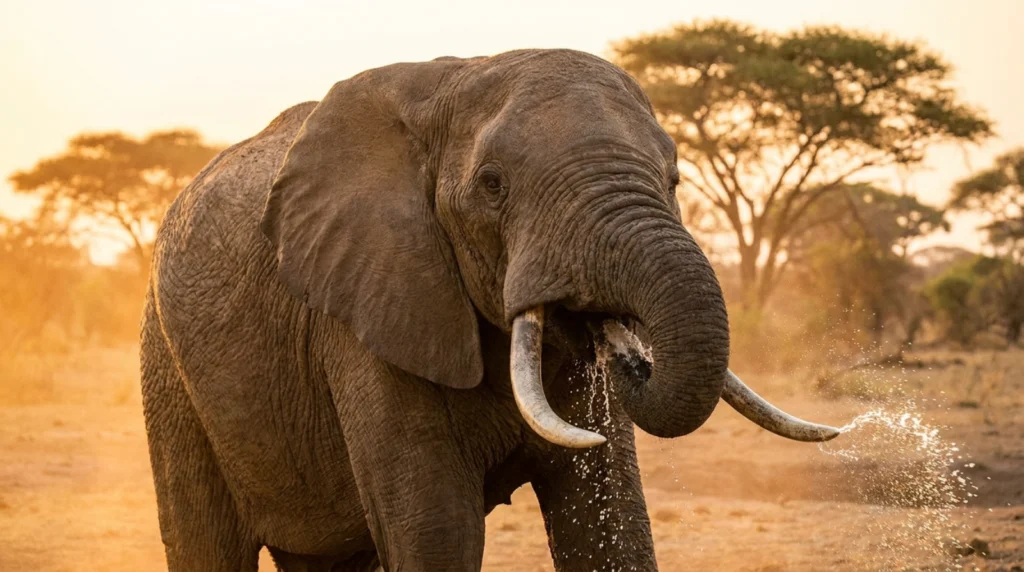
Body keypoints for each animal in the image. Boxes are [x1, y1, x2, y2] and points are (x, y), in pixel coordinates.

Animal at [140, 48, 840, 571]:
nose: (632, 360)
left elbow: (607, 519)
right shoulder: (369, 308)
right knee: (205, 542)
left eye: (673, 181)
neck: (452, 80)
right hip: (168, 368)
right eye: (492, 185)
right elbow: (435, 525)